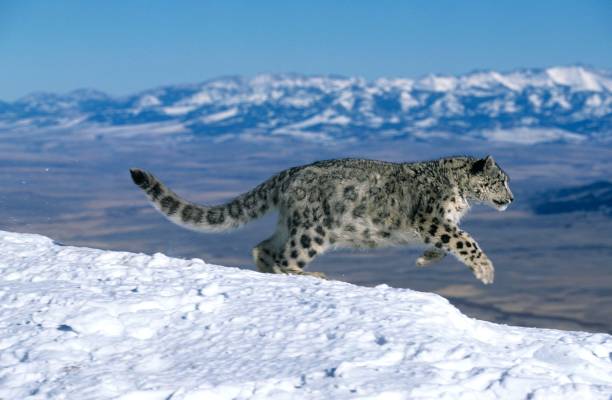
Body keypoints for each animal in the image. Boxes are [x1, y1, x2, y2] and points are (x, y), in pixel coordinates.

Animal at [131, 156, 512, 284]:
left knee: (263, 247)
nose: (511, 199)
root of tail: (290, 172)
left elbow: (448, 244)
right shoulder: (434, 219)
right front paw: (486, 271)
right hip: (314, 230)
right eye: (500, 180)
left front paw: (424, 259)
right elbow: (466, 240)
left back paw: (269, 271)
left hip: (291, 224)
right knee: (287, 256)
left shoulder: (437, 227)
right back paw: (310, 275)